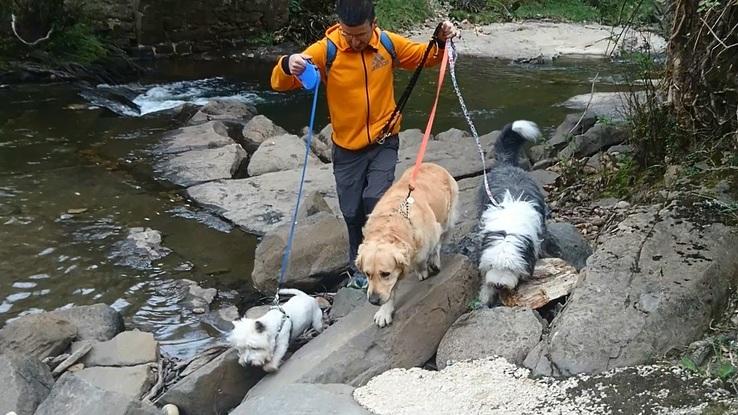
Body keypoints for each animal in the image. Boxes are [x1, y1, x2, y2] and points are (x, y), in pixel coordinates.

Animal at [478, 120, 548, 306]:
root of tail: (506, 165)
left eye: (510, 268)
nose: (498, 284)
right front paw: (486, 293)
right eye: (492, 266)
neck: (508, 227)